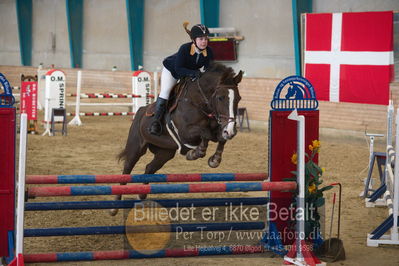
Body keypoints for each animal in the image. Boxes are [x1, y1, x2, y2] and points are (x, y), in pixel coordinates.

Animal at [109, 63, 245, 215]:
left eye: (238, 98)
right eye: (220, 98)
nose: (232, 131)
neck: (199, 102)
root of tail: (141, 110)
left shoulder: (218, 128)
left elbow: (220, 138)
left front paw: (214, 159)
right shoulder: (186, 132)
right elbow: (205, 134)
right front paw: (195, 153)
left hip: (164, 153)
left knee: (149, 168)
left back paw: (142, 196)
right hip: (136, 148)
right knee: (127, 169)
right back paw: (114, 207)